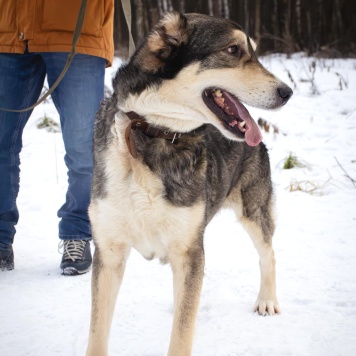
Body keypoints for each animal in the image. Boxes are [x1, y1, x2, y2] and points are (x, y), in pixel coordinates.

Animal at [86, 11, 292, 356]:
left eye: (252, 50)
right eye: (234, 50)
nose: (288, 92)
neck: (154, 134)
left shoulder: (188, 250)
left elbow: (182, 334)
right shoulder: (109, 251)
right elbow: (97, 335)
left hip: (253, 209)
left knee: (269, 253)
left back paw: (267, 300)